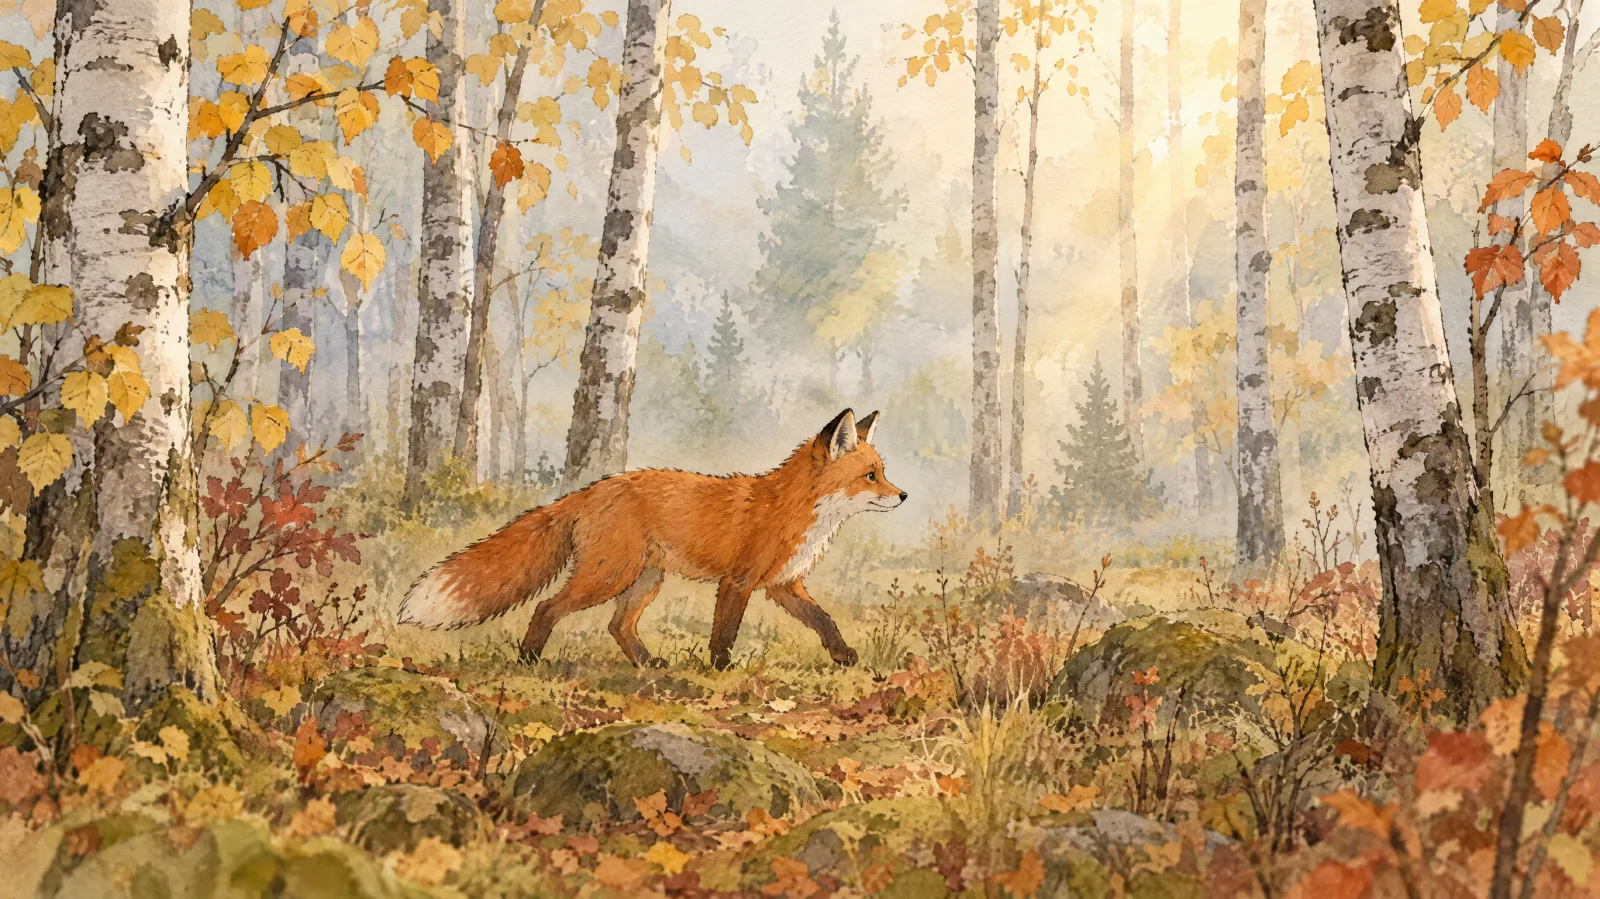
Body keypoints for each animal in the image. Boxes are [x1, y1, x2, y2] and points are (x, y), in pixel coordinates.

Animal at [398, 408, 907, 669]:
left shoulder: (784, 585)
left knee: (617, 626)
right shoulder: (739, 582)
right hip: (609, 576)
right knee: (547, 607)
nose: (903, 495)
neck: (794, 509)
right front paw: (720, 671)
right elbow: (725, 633)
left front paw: (844, 656)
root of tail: (592, 489)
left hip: (644, 580)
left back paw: (646, 664)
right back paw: (528, 659)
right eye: (871, 476)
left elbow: (825, 621)